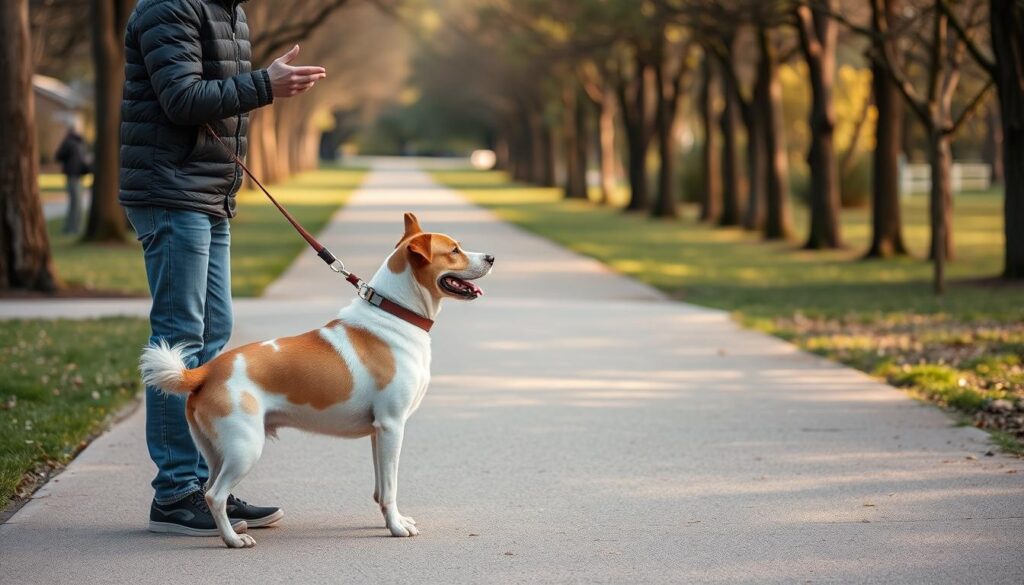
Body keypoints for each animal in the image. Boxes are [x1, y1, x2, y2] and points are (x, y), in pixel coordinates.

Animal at [141, 214, 495, 549]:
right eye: (454, 250)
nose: (491, 257)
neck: (395, 315)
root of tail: (207, 371)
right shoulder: (392, 426)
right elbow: (391, 487)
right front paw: (395, 527)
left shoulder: (378, 432)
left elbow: (381, 489)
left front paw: (390, 519)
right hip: (245, 447)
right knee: (214, 495)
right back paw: (233, 540)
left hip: (218, 451)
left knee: (212, 487)